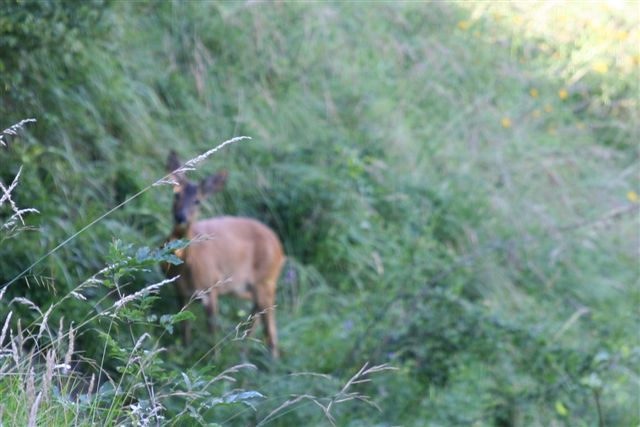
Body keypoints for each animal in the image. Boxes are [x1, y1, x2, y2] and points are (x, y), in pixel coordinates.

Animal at [162, 150, 284, 358]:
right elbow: (183, 325)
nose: (181, 217)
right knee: (256, 312)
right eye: (175, 194)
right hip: (244, 286)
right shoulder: (180, 290)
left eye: (197, 200)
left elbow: (212, 329)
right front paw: (185, 350)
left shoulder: (210, 286)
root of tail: (280, 249)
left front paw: (214, 359)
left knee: (271, 326)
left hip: (266, 280)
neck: (188, 265)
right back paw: (243, 351)